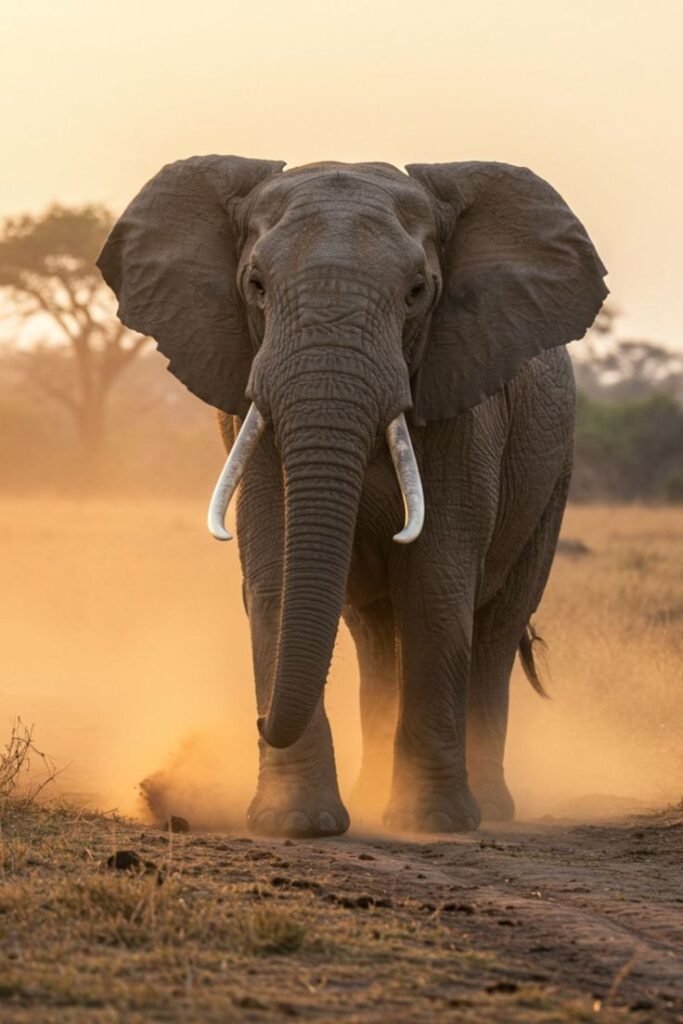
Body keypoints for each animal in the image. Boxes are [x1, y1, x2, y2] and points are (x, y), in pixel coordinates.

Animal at [98, 155, 607, 838]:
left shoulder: (464, 405)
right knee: (374, 633)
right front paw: (297, 824)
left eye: (418, 292)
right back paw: (371, 795)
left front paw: (432, 822)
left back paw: (490, 810)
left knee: (498, 624)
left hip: (555, 473)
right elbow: (277, 576)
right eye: (256, 285)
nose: (256, 721)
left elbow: (436, 584)